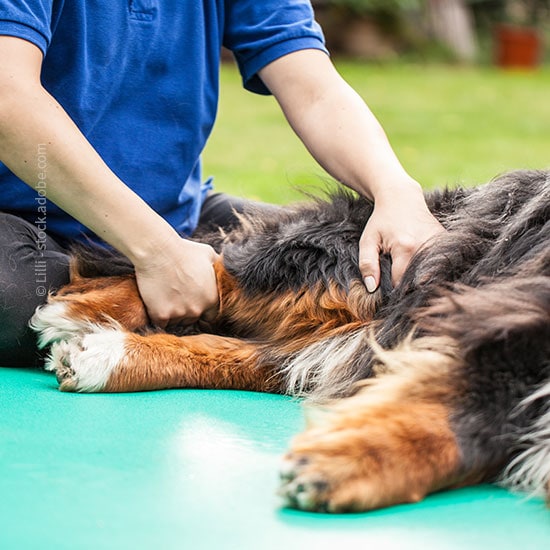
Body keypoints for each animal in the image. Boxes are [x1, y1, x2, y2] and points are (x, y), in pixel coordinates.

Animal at [30, 169, 550, 513]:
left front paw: (351, 462)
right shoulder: (508, 320)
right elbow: (472, 411)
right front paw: (344, 460)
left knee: (262, 355)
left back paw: (104, 355)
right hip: (361, 272)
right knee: (213, 268)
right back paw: (78, 310)